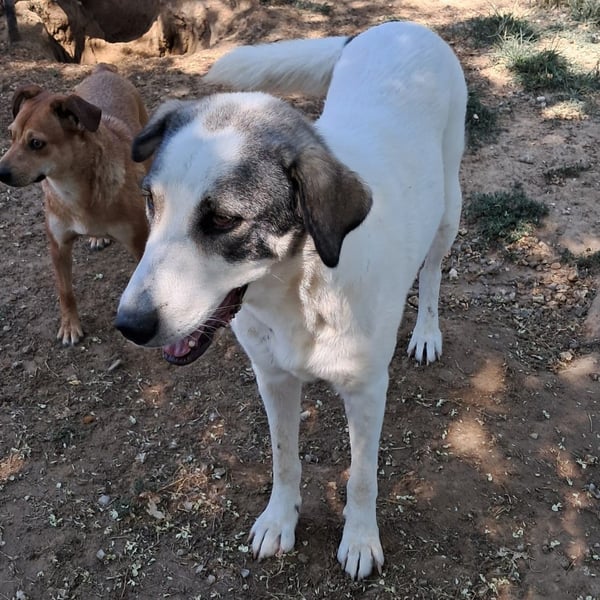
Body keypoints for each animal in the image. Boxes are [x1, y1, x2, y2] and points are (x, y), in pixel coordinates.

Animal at [0, 64, 149, 345]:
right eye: (11, 135)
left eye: (36, 143)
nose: (0, 172)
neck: (75, 192)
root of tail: (102, 69)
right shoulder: (58, 246)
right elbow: (65, 290)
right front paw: (70, 325)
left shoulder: (138, 243)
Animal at [115, 21, 467, 579]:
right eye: (151, 201)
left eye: (222, 220)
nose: (128, 324)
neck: (300, 292)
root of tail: (401, 26)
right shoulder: (272, 377)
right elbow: (283, 457)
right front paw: (280, 520)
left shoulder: (367, 391)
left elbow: (361, 477)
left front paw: (360, 539)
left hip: (449, 207)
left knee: (432, 272)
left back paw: (427, 332)